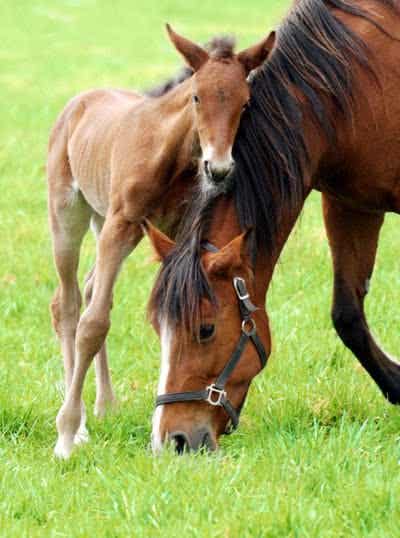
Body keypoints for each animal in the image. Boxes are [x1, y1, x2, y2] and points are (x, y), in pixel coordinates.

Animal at [46, 25, 272, 456]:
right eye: (197, 96)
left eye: (246, 103)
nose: (219, 169)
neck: (169, 151)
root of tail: (78, 103)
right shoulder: (121, 223)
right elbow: (93, 323)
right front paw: (65, 436)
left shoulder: (173, 229)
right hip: (69, 213)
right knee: (67, 303)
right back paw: (78, 424)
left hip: (107, 223)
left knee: (90, 289)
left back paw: (105, 403)